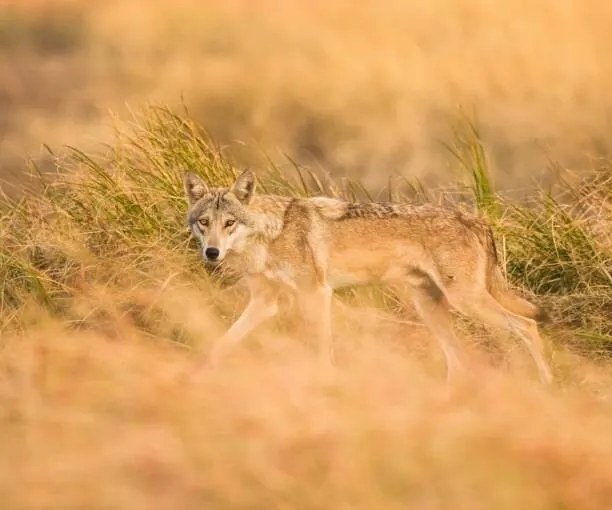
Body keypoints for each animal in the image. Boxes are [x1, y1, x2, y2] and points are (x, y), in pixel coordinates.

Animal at [184, 170, 552, 382]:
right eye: (204, 222)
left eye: (229, 223)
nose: (212, 253)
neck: (270, 236)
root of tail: (474, 219)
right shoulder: (266, 302)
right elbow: (221, 342)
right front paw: (196, 374)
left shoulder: (317, 293)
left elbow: (323, 347)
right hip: (433, 310)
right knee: (459, 362)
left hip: (466, 302)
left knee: (527, 326)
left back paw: (545, 385)